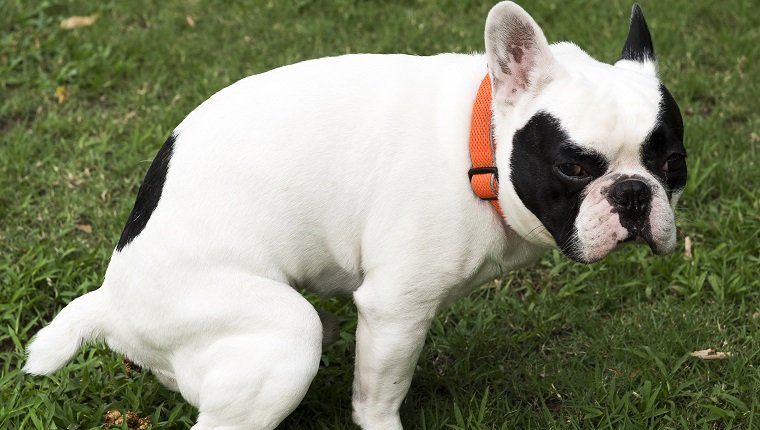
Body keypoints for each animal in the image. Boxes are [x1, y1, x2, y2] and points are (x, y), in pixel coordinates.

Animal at [26, 1, 684, 428]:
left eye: (672, 162)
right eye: (574, 167)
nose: (632, 193)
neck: (479, 145)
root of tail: (113, 300)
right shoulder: (394, 312)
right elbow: (378, 395)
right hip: (282, 335)